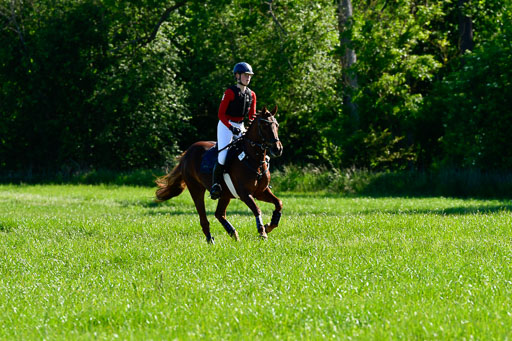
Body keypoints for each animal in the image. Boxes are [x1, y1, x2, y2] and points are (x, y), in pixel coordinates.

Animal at [156, 106, 284, 242]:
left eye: (277, 125)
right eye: (265, 126)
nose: (278, 149)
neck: (253, 160)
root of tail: (187, 153)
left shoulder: (261, 192)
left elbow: (279, 203)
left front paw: (269, 226)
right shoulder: (245, 194)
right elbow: (257, 209)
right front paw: (262, 231)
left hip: (225, 194)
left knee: (219, 214)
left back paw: (233, 233)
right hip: (196, 189)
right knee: (203, 217)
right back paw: (210, 240)